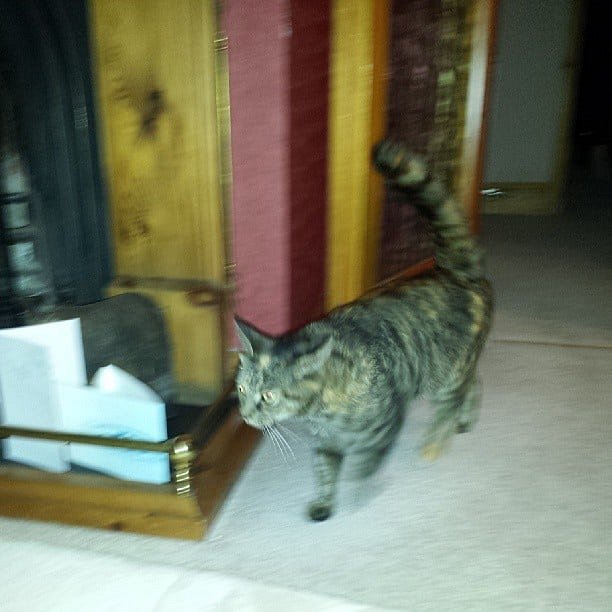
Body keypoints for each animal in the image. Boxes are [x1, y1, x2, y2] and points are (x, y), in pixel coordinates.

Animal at [235, 140, 493, 521]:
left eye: (267, 396)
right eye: (239, 388)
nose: (244, 414)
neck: (323, 408)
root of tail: (459, 274)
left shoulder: (389, 418)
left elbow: (368, 461)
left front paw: (360, 486)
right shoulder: (326, 441)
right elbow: (325, 468)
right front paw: (323, 502)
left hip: (446, 375)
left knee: (456, 397)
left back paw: (436, 442)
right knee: (474, 383)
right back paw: (463, 420)